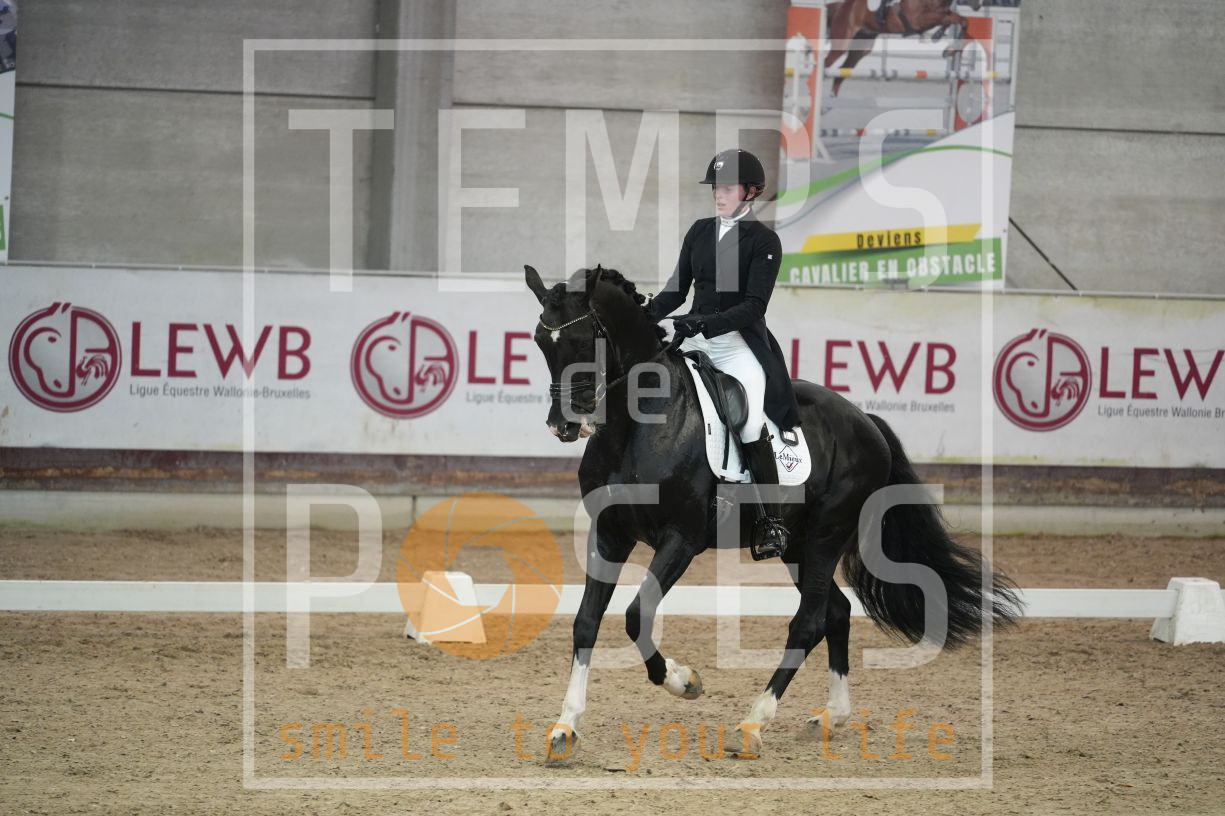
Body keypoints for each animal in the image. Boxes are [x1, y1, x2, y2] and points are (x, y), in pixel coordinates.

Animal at [525, 263, 1020, 759]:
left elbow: (636, 614)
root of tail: (866, 422)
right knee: (836, 611)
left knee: (808, 622)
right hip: (797, 545)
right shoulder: (609, 534)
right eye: (540, 341)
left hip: (825, 536)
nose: (563, 424)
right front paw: (565, 728)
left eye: (584, 339)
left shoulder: (681, 539)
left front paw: (686, 682)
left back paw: (754, 723)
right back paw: (830, 717)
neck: (641, 423)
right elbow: (586, 621)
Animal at [825, 0, 982, 98]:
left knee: (842, 70)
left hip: (861, 48)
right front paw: (939, 36)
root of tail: (840, 6)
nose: (978, 5)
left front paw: (949, 48)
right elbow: (947, 18)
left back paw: (831, 100)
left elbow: (961, 20)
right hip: (842, 42)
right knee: (827, 62)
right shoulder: (917, 20)